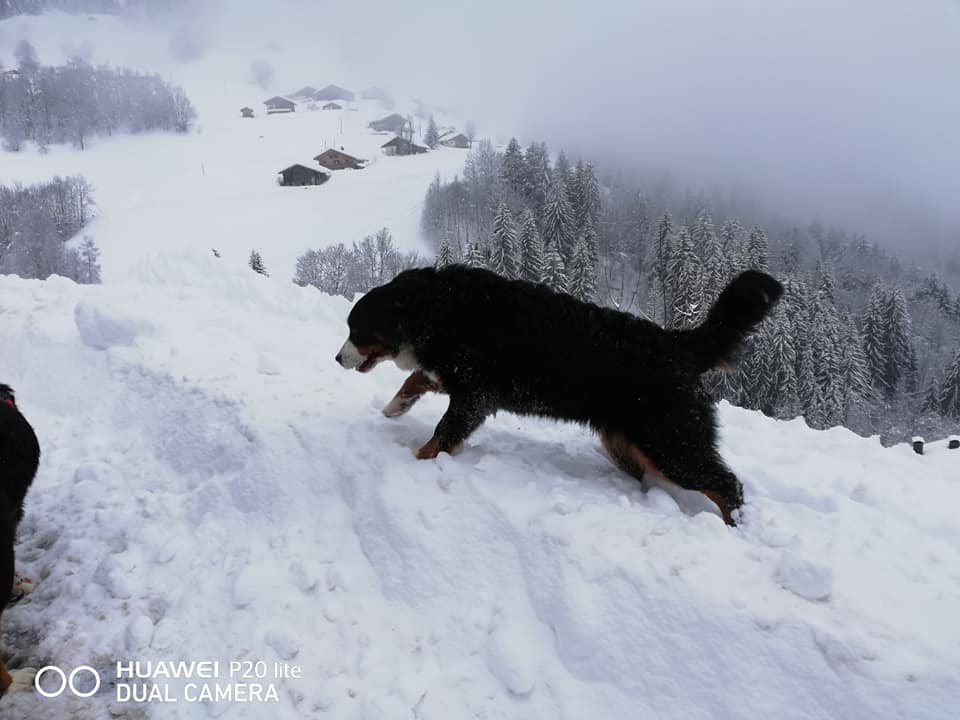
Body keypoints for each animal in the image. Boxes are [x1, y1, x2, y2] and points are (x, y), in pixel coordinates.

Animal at [338, 264, 780, 524]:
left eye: (356, 329)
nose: (338, 357)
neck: (438, 309)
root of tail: (678, 343)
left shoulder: (474, 395)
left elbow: (441, 436)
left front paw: (416, 462)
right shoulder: (453, 374)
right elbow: (417, 379)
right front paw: (395, 407)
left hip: (671, 442)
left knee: (726, 483)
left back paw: (735, 525)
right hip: (628, 443)